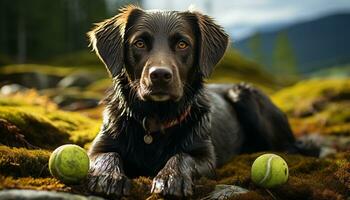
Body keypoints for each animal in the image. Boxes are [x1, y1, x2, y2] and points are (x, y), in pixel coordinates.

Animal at [87, 5, 298, 198]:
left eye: (182, 44)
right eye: (139, 43)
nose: (160, 75)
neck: (156, 118)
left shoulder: (206, 157)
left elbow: (182, 156)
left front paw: (171, 178)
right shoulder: (98, 147)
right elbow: (108, 155)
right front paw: (108, 176)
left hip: (247, 97)